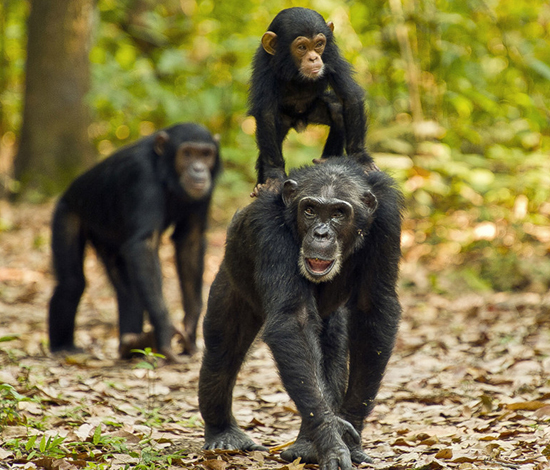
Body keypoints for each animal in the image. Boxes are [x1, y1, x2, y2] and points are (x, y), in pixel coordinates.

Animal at [48, 122, 222, 364]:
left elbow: (191, 242)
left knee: (129, 293)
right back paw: (63, 347)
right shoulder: (142, 176)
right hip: (67, 210)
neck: (167, 174)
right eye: (187, 153)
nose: (198, 169)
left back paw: (131, 345)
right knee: (71, 283)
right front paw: (166, 333)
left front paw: (190, 329)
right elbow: (144, 246)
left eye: (206, 154)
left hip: (108, 241)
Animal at [199, 159, 406, 470]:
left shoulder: (387, 222)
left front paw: (349, 432)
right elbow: (293, 320)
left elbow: (374, 310)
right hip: (230, 281)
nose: (321, 233)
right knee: (223, 352)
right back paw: (224, 434)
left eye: (338, 213)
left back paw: (306, 446)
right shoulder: (268, 227)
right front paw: (331, 438)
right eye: (309, 210)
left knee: (331, 355)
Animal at [250, 6, 380, 193]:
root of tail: (299, 121)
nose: (313, 58)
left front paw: (360, 158)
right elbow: (266, 113)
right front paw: (274, 175)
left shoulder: (331, 56)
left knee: (337, 109)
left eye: (319, 45)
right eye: (302, 47)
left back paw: (327, 160)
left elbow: (350, 97)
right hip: (283, 120)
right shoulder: (265, 65)